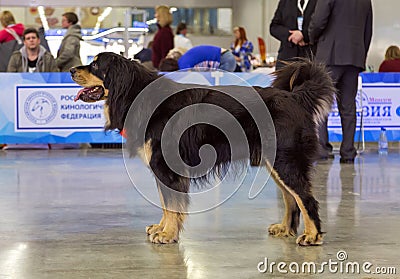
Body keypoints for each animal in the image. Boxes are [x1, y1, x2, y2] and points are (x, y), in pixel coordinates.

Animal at [71, 52, 334, 247]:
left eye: (95, 65)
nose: (72, 70)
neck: (136, 94)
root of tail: (295, 98)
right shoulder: (162, 169)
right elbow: (166, 203)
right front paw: (162, 227)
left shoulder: (167, 167)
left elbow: (172, 204)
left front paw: (168, 234)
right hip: (275, 162)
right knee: (291, 198)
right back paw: (286, 228)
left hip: (285, 161)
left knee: (306, 198)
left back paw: (312, 236)